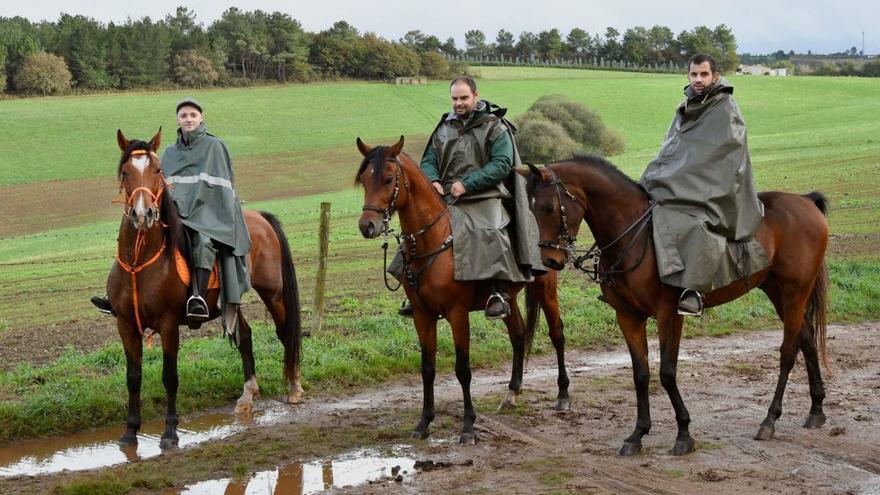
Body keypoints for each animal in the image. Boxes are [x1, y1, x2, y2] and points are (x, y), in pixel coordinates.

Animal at [109, 130, 304, 452]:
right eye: (125, 172)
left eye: (157, 171)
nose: (142, 213)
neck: (139, 262)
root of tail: (259, 217)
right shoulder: (126, 325)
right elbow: (133, 377)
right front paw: (130, 432)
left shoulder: (168, 324)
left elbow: (170, 377)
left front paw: (170, 433)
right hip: (232, 299)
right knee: (245, 336)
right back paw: (247, 395)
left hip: (273, 292)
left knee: (285, 331)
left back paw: (294, 387)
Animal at [354, 137, 568, 446]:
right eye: (364, 180)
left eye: (388, 179)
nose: (367, 226)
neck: (435, 240)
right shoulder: (422, 316)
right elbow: (427, 369)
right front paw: (424, 422)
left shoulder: (457, 314)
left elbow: (463, 370)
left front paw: (468, 427)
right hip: (509, 299)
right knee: (517, 335)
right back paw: (512, 393)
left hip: (546, 288)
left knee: (557, 335)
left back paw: (563, 395)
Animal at [524, 158, 832, 458]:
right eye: (531, 209)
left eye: (549, 207)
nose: (548, 261)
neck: (636, 238)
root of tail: (805, 200)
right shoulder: (628, 316)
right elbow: (641, 374)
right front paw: (638, 434)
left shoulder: (669, 315)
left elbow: (667, 373)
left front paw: (683, 433)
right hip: (776, 290)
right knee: (806, 339)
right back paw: (816, 409)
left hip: (794, 292)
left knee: (789, 351)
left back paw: (770, 419)